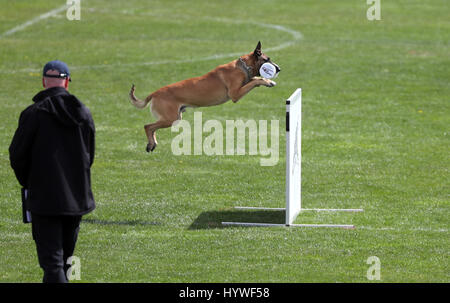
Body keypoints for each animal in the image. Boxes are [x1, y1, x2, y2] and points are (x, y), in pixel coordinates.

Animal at [128, 41, 280, 153]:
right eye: (267, 59)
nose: (278, 69)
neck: (242, 67)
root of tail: (154, 93)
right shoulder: (235, 94)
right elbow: (255, 80)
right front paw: (267, 81)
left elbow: (254, 78)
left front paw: (265, 80)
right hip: (171, 119)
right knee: (147, 126)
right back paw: (151, 143)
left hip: (173, 118)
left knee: (151, 127)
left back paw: (151, 144)